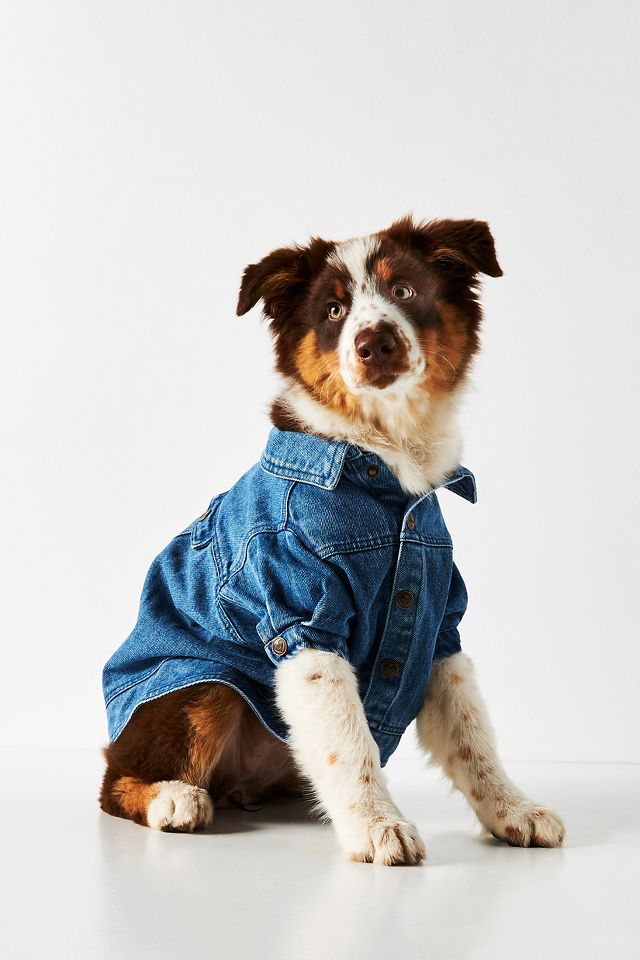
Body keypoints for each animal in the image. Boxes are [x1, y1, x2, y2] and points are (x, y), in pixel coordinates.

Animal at [100, 216, 564, 864]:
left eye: (405, 292)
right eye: (334, 310)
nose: (374, 344)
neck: (384, 461)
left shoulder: (438, 623)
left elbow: (473, 738)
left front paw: (512, 810)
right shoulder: (300, 619)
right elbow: (348, 738)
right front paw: (376, 826)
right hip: (201, 686)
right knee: (115, 779)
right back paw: (174, 797)